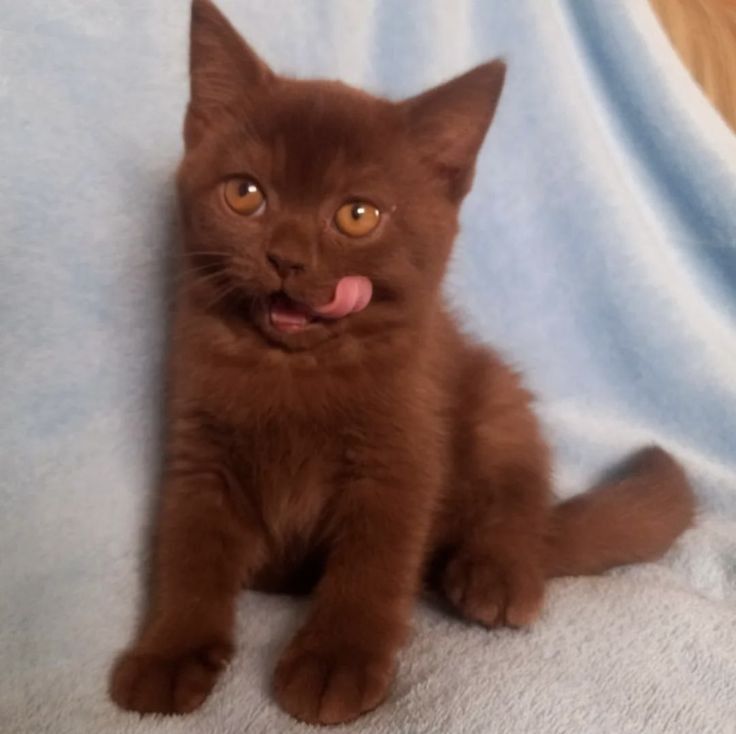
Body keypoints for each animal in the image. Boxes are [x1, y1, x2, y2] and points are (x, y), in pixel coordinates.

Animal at [106, 0, 692, 724]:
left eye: (357, 215)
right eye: (245, 194)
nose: (287, 256)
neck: (295, 370)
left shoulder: (400, 458)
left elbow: (372, 566)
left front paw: (336, 661)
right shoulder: (199, 451)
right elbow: (189, 553)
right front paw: (169, 653)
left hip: (495, 400)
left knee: (520, 500)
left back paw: (493, 573)